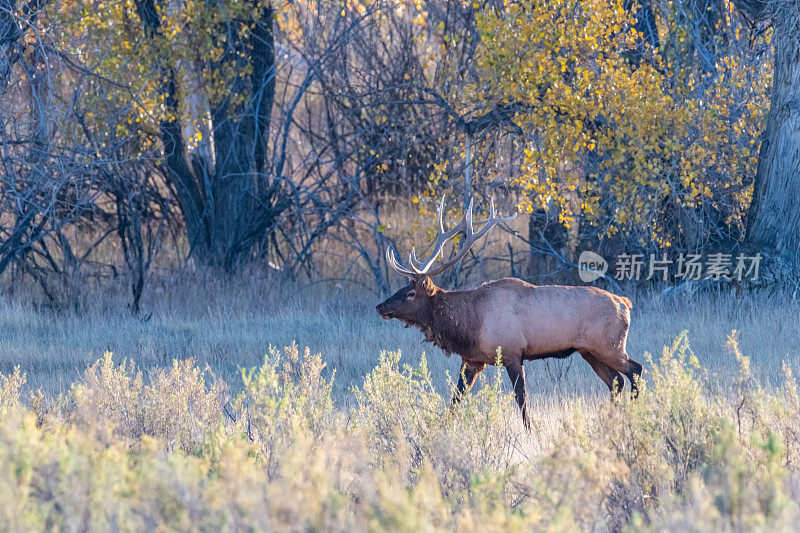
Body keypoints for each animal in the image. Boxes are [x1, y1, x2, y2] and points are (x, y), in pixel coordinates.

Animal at [376, 197, 644, 426]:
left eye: (411, 293)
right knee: (616, 381)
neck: (470, 324)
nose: (380, 306)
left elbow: (521, 400)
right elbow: (455, 398)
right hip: (589, 351)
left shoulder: (512, 352)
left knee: (635, 370)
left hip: (609, 346)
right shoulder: (472, 360)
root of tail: (625, 304)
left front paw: (529, 431)